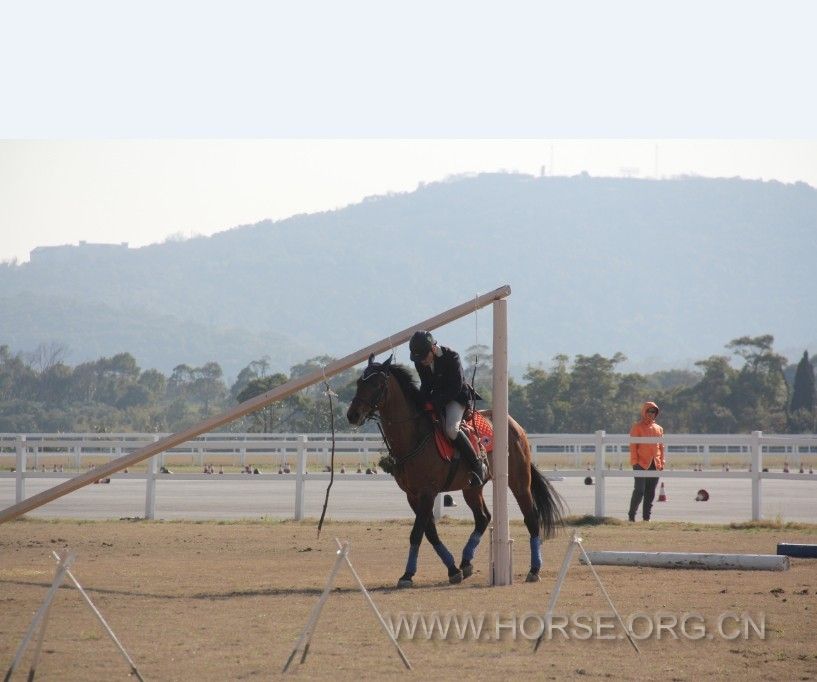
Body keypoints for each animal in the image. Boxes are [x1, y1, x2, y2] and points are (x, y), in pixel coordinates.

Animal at [342, 356, 560, 584]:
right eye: (359, 382)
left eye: (376, 385)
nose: (352, 415)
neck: (414, 436)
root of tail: (515, 425)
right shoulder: (413, 495)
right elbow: (430, 532)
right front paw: (453, 569)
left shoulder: (427, 493)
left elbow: (417, 532)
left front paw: (407, 574)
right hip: (472, 488)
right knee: (483, 518)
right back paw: (466, 562)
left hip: (519, 482)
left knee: (531, 518)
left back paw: (534, 569)